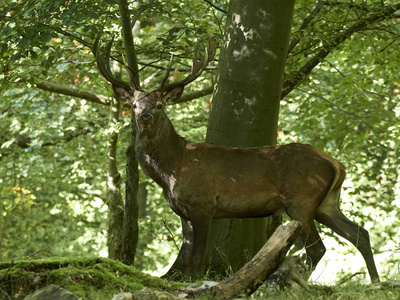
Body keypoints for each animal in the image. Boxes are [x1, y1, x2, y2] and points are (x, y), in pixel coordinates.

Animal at [92, 34, 380, 282]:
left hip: (302, 199)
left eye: (160, 104)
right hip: (326, 203)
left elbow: (197, 255)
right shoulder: (183, 211)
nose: (145, 117)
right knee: (360, 234)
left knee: (318, 248)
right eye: (135, 104)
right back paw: (376, 282)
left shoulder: (204, 204)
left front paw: (197, 282)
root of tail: (337, 163)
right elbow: (185, 257)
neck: (172, 168)